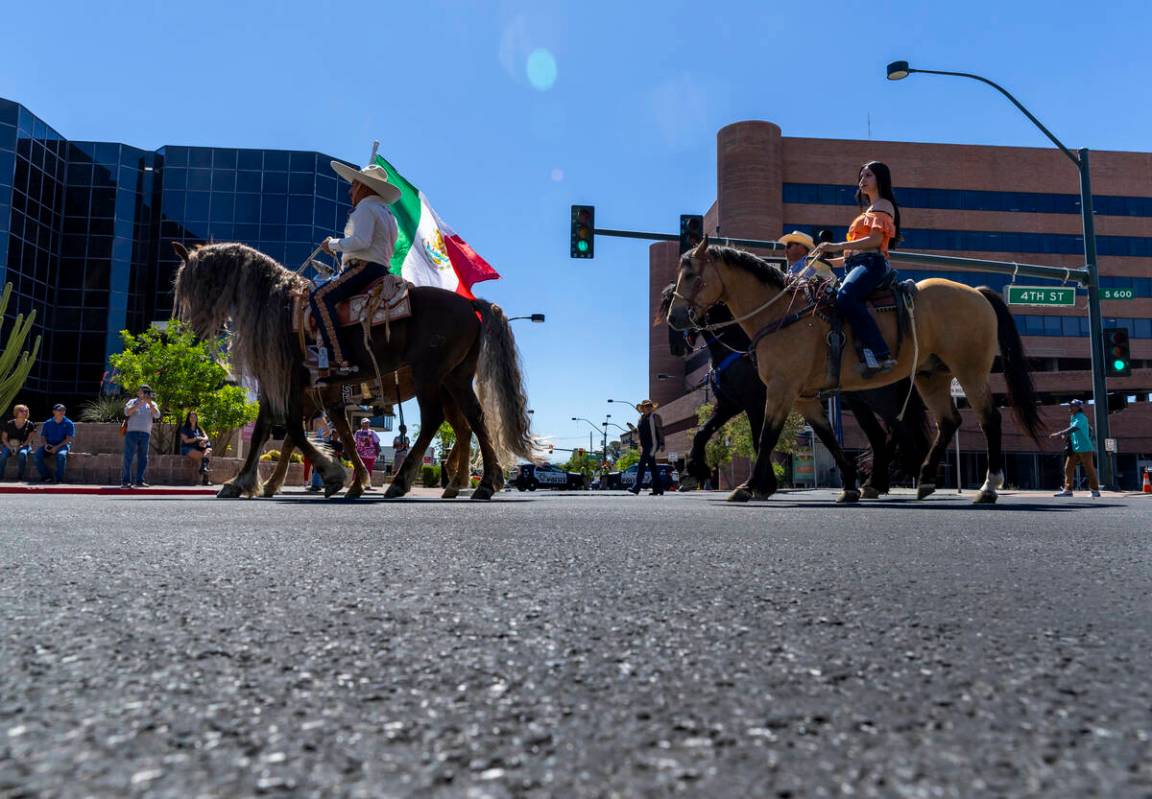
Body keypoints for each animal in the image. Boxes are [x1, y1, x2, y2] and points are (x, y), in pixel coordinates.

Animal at [172, 242, 532, 501]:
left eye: (202, 282)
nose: (191, 332)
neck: (278, 308)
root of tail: (469, 304)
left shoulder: (292, 385)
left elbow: (292, 432)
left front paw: (333, 476)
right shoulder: (314, 395)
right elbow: (285, 433)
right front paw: (244, 482)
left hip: (431, 374)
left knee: (436, 420)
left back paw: (404, 482)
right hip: (454, 377)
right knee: (472, 421)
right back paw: (479, 483)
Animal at [658, 284, 935, 497]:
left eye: (671, 302)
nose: (675, 346)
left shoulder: (755, 402)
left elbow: (759, 438)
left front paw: (761, 485)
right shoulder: (730, 403)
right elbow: (702, 432)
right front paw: (694, 470)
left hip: (880, 397)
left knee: (900, 431)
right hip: (859, 399)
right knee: (881, 436)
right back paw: (876, 483)